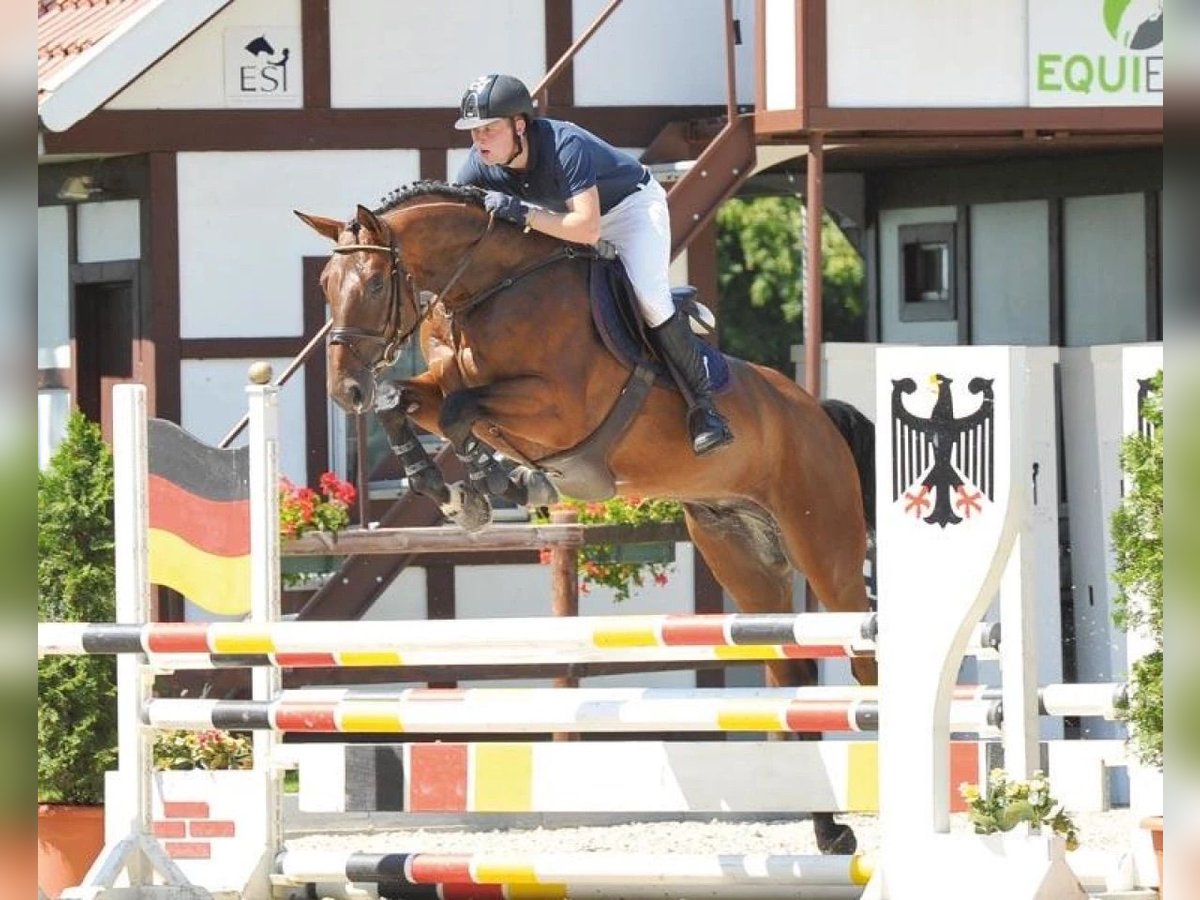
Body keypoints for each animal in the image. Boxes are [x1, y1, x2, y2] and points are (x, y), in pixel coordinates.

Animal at [297, 181, 883, 854]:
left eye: (372, 283)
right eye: (325, 285)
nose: (346, 392)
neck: (485, 289)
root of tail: (814, 411)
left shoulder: (557, 405)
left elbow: (462, 410)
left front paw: (491, 481)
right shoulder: (441, 385)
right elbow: (409, 403)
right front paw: (453, 488)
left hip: (826, 549)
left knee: (863, 655)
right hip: (744, 560)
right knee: (791, 672)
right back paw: (829, 830)